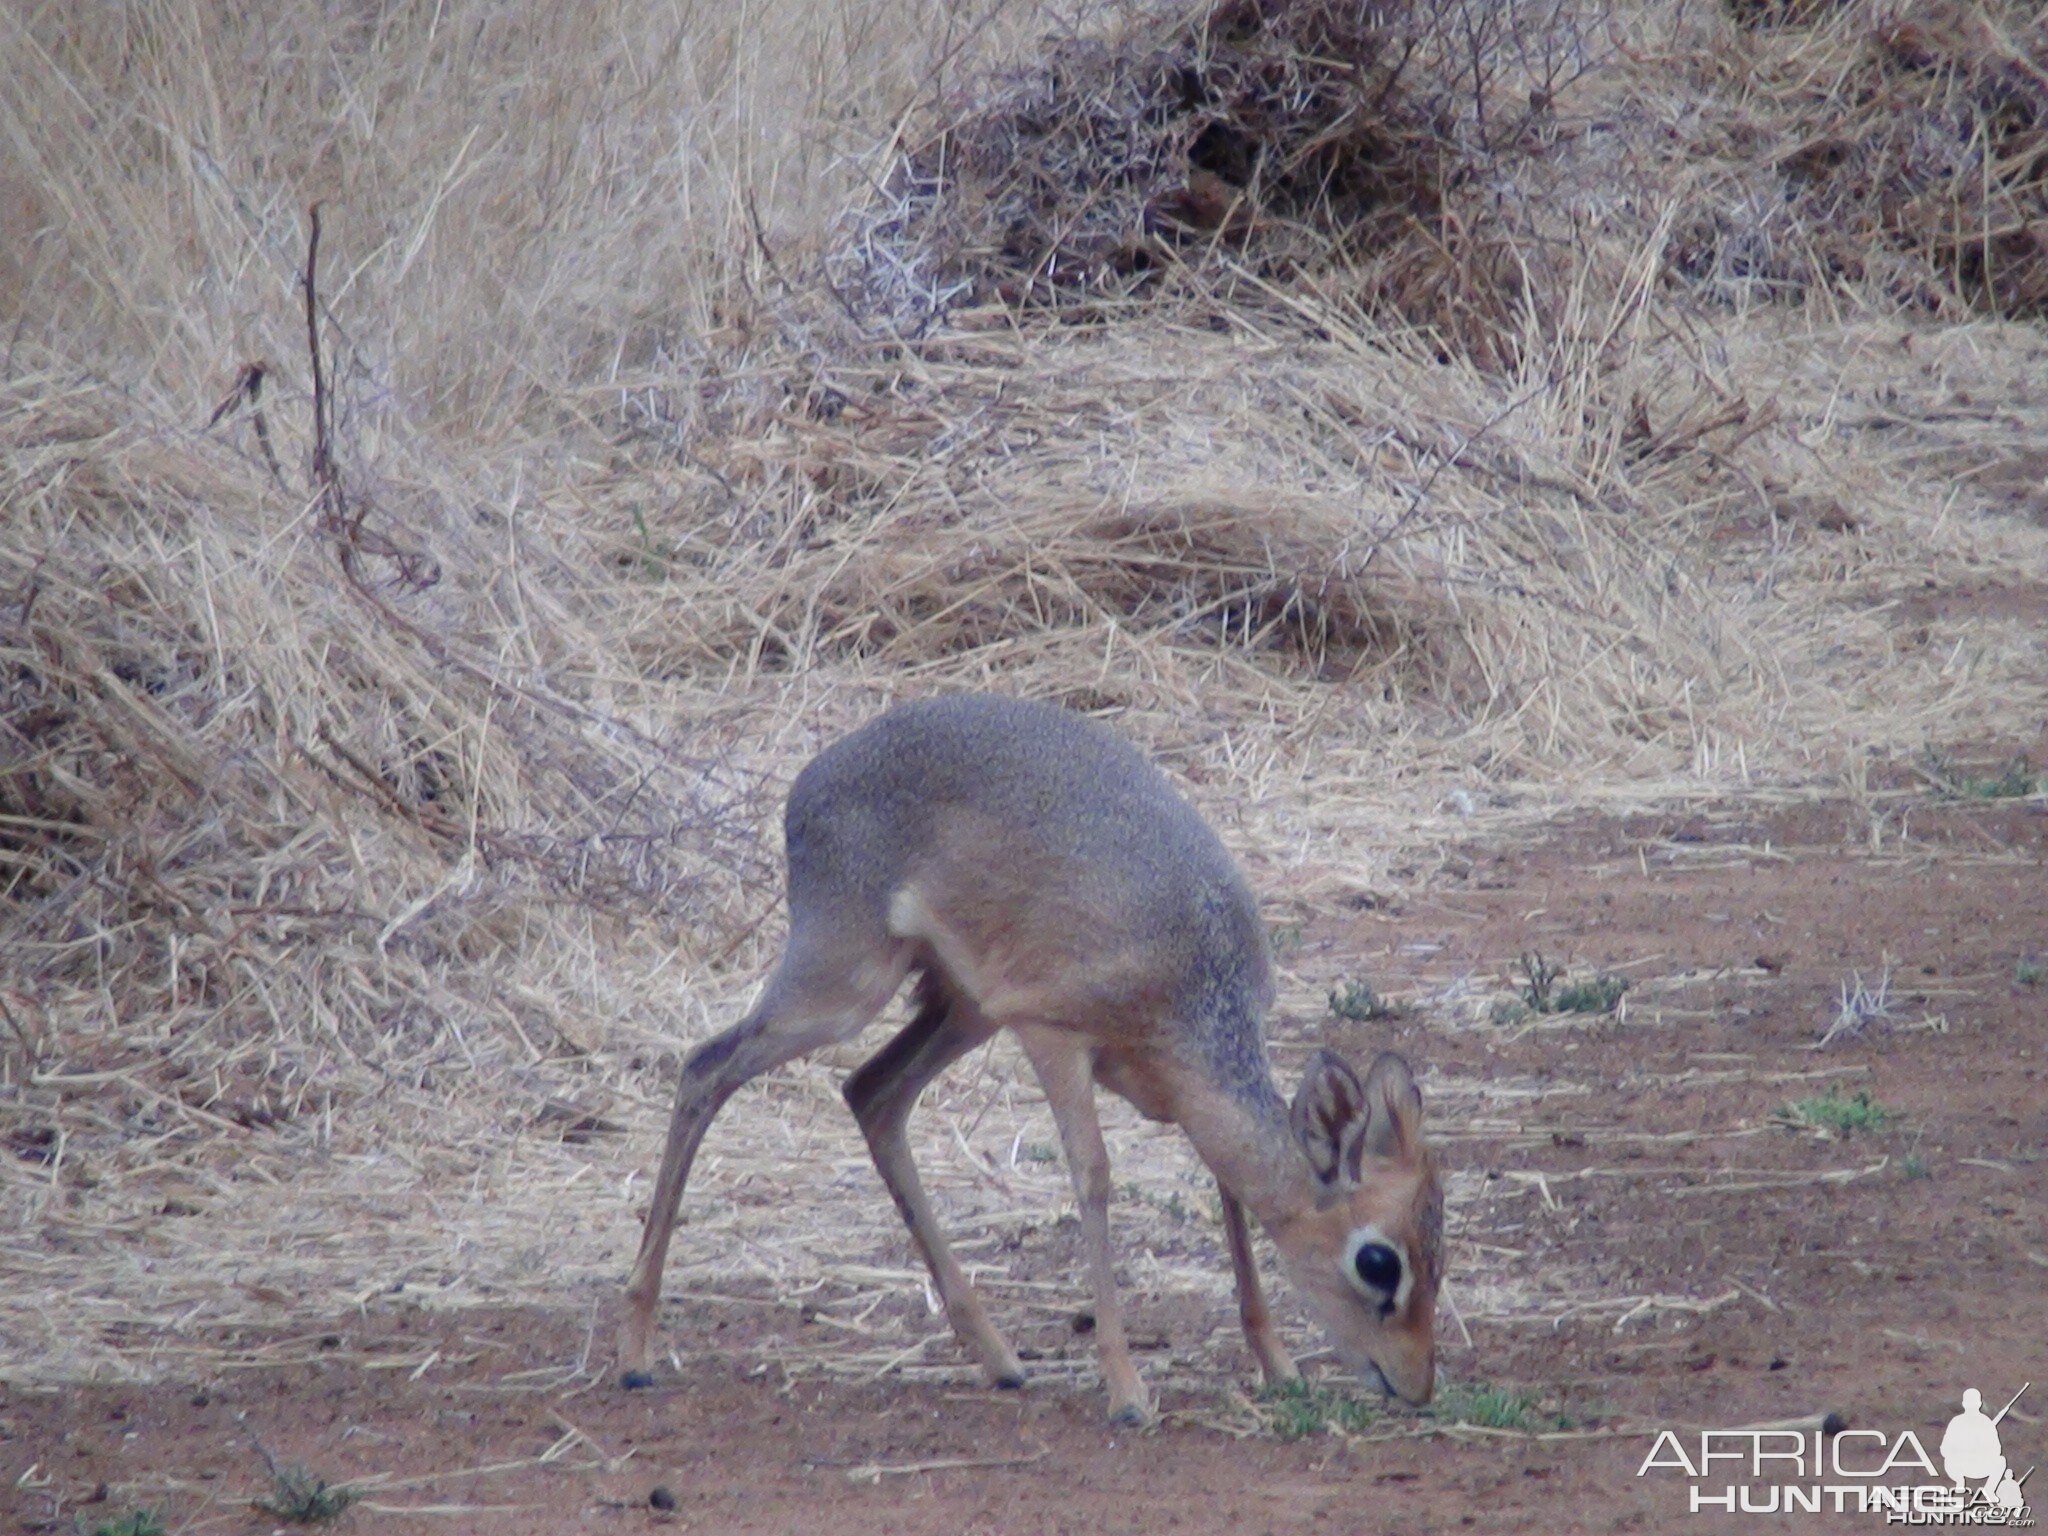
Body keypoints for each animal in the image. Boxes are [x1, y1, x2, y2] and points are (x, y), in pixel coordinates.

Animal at [622, 692, 1441, 1425]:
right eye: (1378, 1261)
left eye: (1437, 1249)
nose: (1418, 1385)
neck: (1191, 978)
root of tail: (812, 779)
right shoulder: (1055, 1037)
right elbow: (1094, 1176)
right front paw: (1127, 1392)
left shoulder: (1174, 1093)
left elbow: (1228, 1188)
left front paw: (1276, 1363)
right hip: (846, 988)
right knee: (706, 1066)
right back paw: (636, 1349)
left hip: (961, 1010)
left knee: (871, 1093)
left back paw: (1000, 1357)